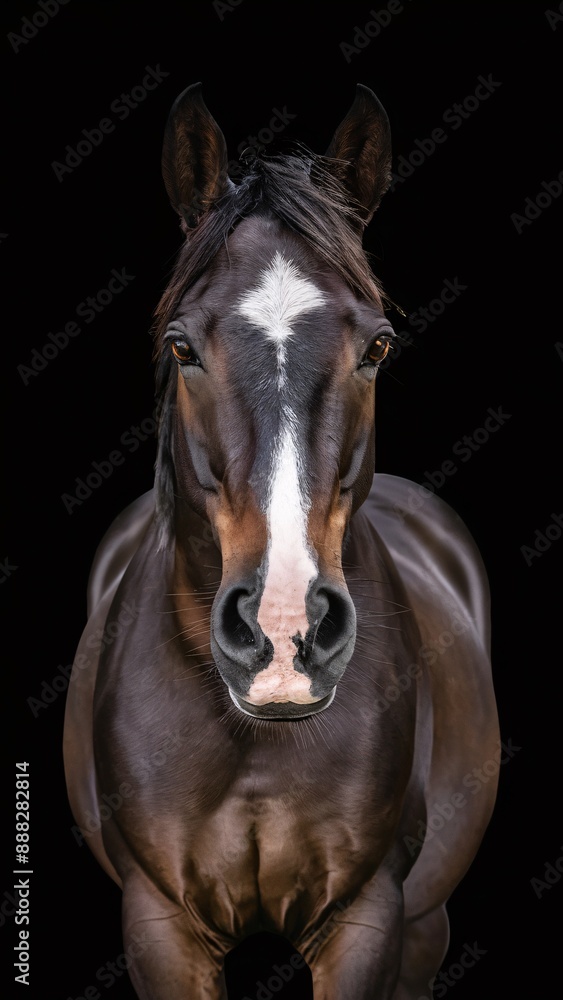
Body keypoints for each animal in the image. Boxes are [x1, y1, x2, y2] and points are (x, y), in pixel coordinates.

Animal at [63, 83, 499, 999]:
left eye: (376, 344)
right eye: (180, 346)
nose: (284, 632)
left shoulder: (367, 920)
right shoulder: (161, 925)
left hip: (427, 925)